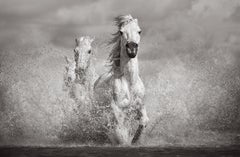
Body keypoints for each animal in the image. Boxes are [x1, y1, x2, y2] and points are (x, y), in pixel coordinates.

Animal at [93, 15, 148, 145]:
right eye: (121, 32)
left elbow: (144, 121)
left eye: (139, 31)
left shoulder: (139, 105)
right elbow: (121, 133)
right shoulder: (117, 109)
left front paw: (135, 139)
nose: (132, 49)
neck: (129, 82)